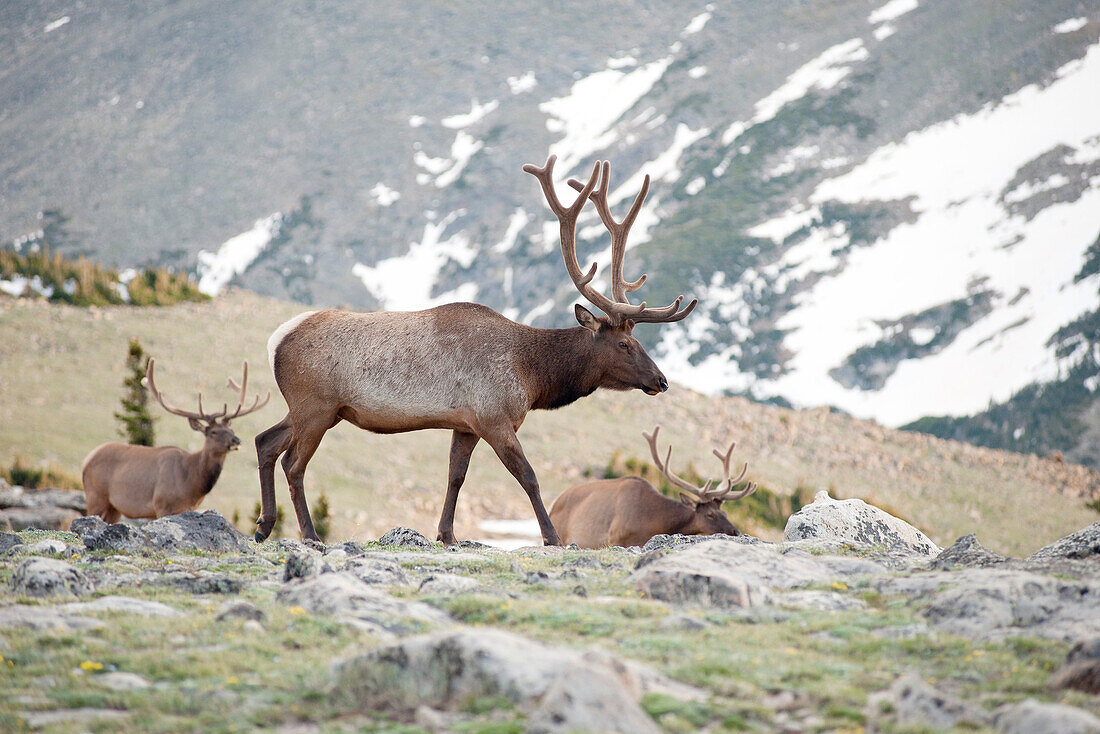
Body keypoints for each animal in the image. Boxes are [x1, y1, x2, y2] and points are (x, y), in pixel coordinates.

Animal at [81, 360, 268, 521]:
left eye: (231, 430)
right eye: (213, 432)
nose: (236, 440)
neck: (191, 485)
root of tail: (86, 460)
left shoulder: (187, 509)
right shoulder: (162, 505)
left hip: (114, 507)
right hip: (95, 495)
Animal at [257, 155, 695, 545]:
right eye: (624, 343)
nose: (661, 380)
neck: (533, 377)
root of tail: (276, 339)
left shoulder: (465, 423)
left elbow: (455, 477)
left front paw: (447, 534)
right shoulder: (494, 416)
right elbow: (529, 477)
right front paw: (552, 537)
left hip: (310, 408)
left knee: (265, 442)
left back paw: (264, 525)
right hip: (316, 406)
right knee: (293, 464)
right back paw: (309, 534)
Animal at [550, 424, 756, 550]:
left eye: (725, 513)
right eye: (710, 514)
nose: (735, 532)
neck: (652, 521)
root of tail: (554, 505)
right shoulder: (615, 538)